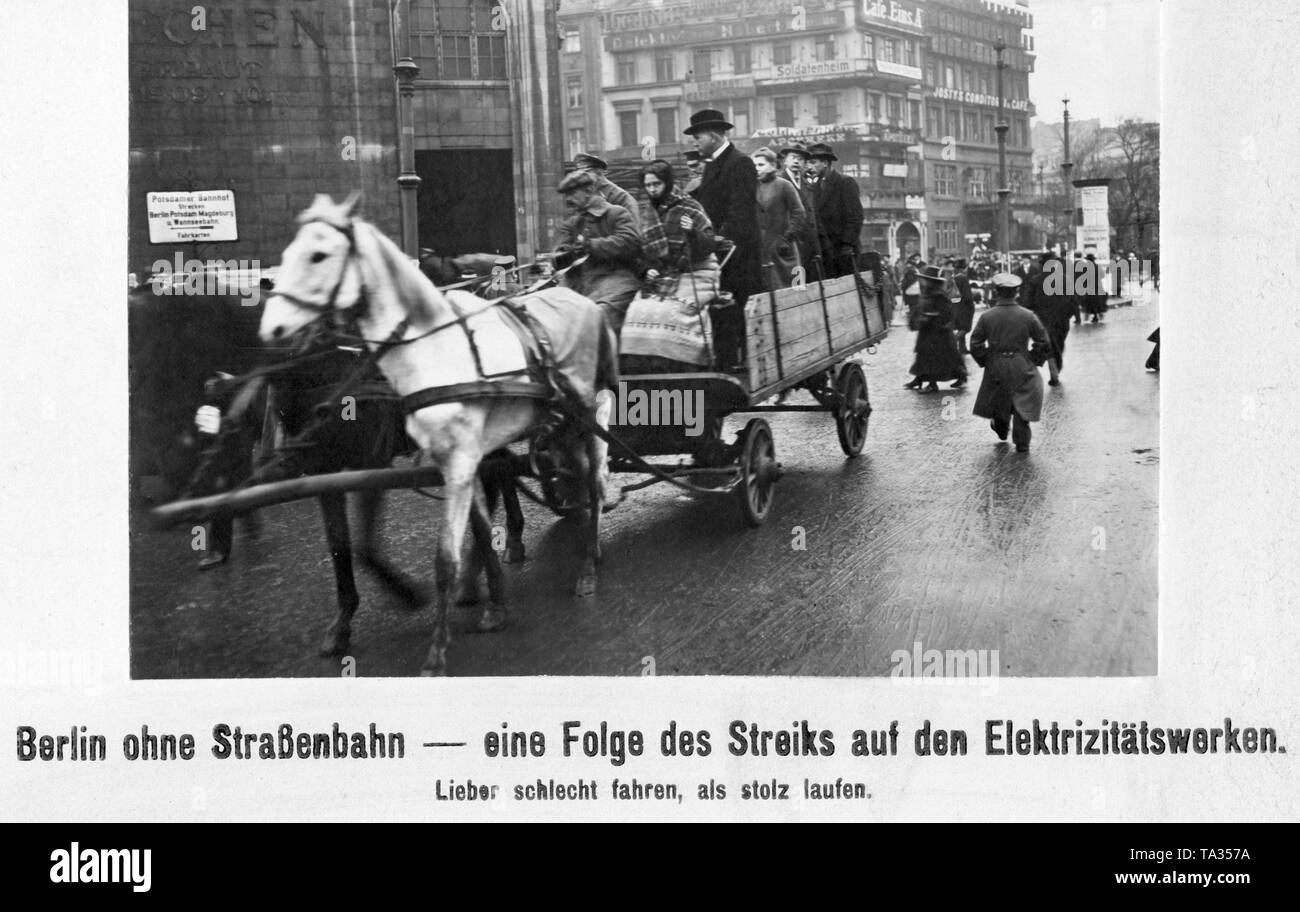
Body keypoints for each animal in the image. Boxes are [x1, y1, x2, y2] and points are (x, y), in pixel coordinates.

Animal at [262, 194, 618, 680]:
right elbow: (342, 548)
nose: (275, 330)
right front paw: (344, 623)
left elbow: (376, 547)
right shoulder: (328, 473)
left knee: (589, 477)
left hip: (582, 416)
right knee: (529, 476)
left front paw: (415, 602)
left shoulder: (375, 462)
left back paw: (585, 558)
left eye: (319, 255)